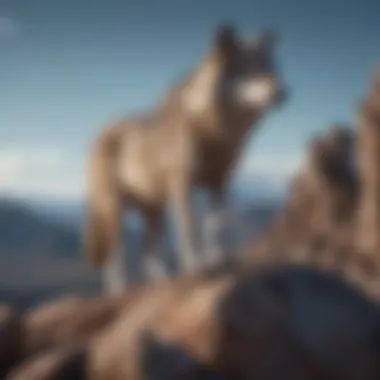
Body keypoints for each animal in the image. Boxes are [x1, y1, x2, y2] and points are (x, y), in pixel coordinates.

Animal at [85, 23, 288, 294]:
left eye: (270, 67)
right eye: (246, 70)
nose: (283, 91)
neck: (213, 133)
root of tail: (100, 132)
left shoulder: (220, 183)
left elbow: (216, 226)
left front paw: (218, 260)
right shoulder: (182, 183)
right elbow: (189, 230)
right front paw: (195, 268)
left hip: (155, 213)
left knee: (146, 254)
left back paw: (165, 282)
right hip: (114, 210)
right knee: (115, 256)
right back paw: (120, 290)